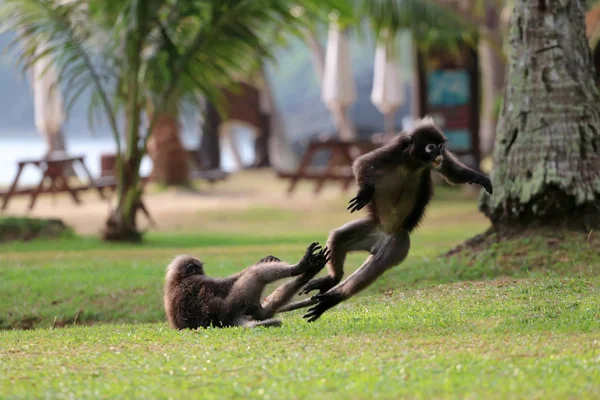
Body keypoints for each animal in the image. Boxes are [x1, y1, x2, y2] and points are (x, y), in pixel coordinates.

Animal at [163, 242, 332, 330]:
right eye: (200, 269)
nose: (203, 270)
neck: (177, 280)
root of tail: (225, 321)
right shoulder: (198, 280)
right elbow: (225, 285)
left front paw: (264, 259)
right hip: (234, 307)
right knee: (256, 275)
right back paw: (300, 267)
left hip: (250, 310)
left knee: (265, 309)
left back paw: (308, 274)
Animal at [286, 116, 496, 322]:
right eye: (431, 147)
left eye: (440, 146)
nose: (439, 153)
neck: (413, 162)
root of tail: (381, 237)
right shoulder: (396, 150)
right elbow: (362, 162)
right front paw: (365, 192)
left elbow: (452, 174)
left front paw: (479, 177)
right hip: (371, 229)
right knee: (339, 237)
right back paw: (332, 280)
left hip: (397, 243)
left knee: (375, 266)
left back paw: (332, 297)